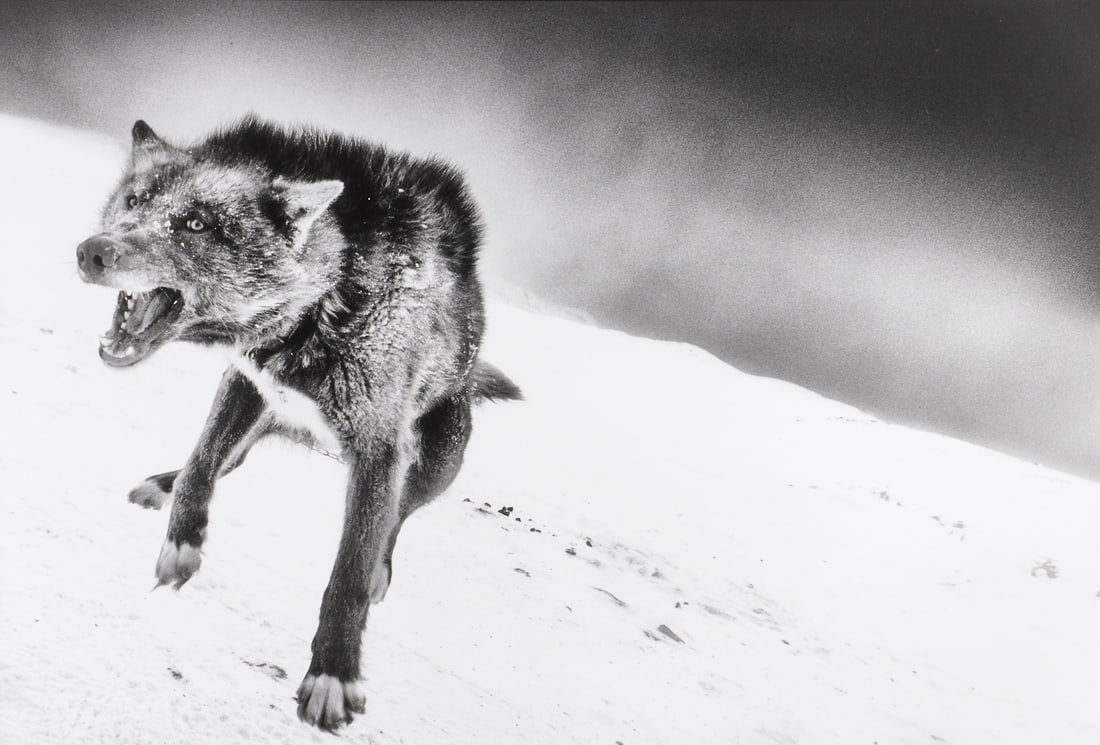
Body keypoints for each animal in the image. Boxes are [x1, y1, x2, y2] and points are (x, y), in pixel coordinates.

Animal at [75, 117, 521, 730]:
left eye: (197, 224)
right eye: (135, 201)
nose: (92, 252)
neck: (328, 302)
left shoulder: (380, 451)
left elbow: (349, 575)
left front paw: (334, 673)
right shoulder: (245, 379)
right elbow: (200, 467)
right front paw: (181, 543)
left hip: (436, 461)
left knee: (397, 516)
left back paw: (382, 568)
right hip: (258, 411)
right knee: (225, 459)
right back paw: (164, 483)